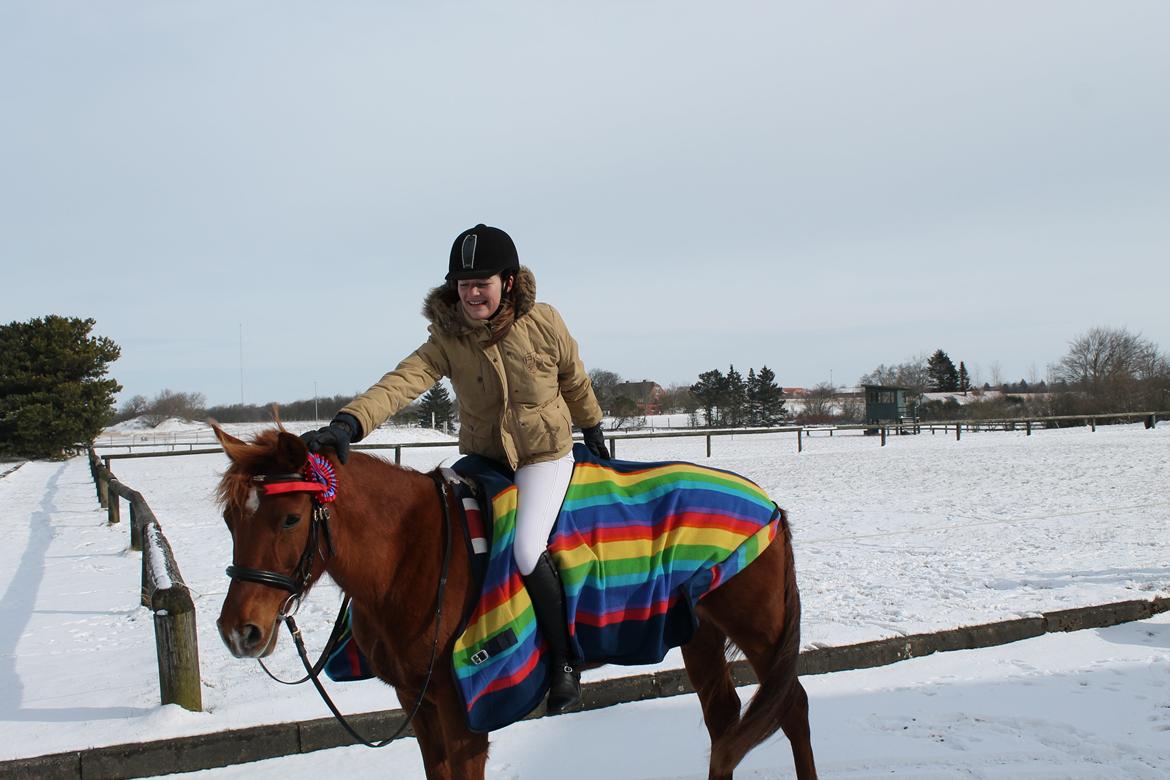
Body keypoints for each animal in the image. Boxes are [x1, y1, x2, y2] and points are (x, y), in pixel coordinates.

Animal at [212, 424, 817, 780]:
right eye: (230, 519)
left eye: (290, 519)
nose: (240, 631)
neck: (415, 551)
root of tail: (768, 503)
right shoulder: (418, 706)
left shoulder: (463, 717)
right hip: (701, 632)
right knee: (725, 723)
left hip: (759, 629)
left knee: (792, 707)